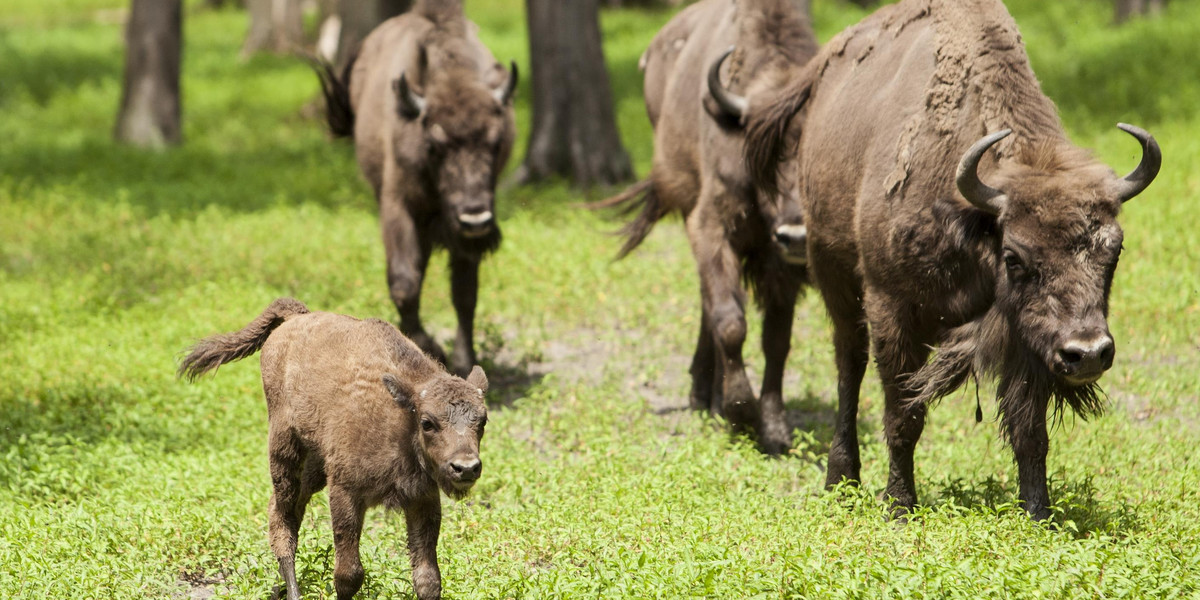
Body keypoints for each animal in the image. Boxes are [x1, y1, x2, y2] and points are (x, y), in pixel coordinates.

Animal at [309, 0, 516, 374]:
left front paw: (464, 360)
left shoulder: (462, 236)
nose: (475, 219)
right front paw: (430, 348)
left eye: (496, 143)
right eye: (434, 145)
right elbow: (405, 281)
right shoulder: (398, 205)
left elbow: (465, 291)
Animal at [597, 0, 816, 451]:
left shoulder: (780, 264)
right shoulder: (711, 228)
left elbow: (777, 338)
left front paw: (775, 429)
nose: (795, 236)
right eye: (764, 153)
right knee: (709, 305)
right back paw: (705, 397)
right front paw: (739, 412)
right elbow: (731, 323)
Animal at [744, 0, 1156, 518]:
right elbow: (903, 413)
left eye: (1113, 249)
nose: (1087, 353)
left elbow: (1030, 431)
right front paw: (899, 506)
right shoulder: (892, 309)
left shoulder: (1027, 338)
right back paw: (841, 478)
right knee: (848, 368)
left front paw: (1038, 514)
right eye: (1014, 257)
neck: (974, 222)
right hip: (834, 277)